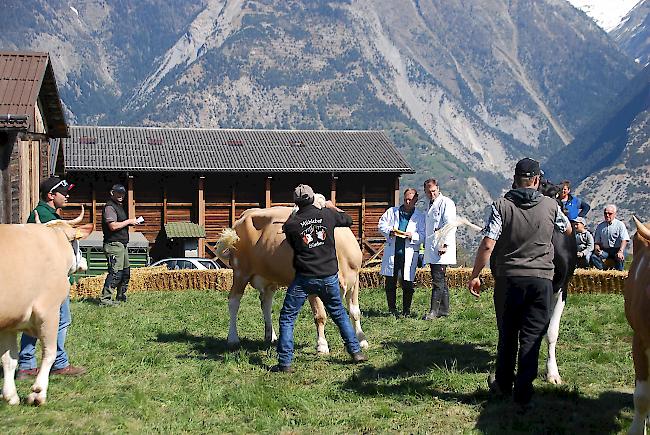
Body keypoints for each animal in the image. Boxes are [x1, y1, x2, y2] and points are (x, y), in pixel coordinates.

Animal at [0, 209, 92, 408]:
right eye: (76, 242)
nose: (84, 262)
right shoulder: (48, 311)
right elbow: (50, 352)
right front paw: (38, 392)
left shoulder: (9, 321)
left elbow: (9, 359)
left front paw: (11, 396)